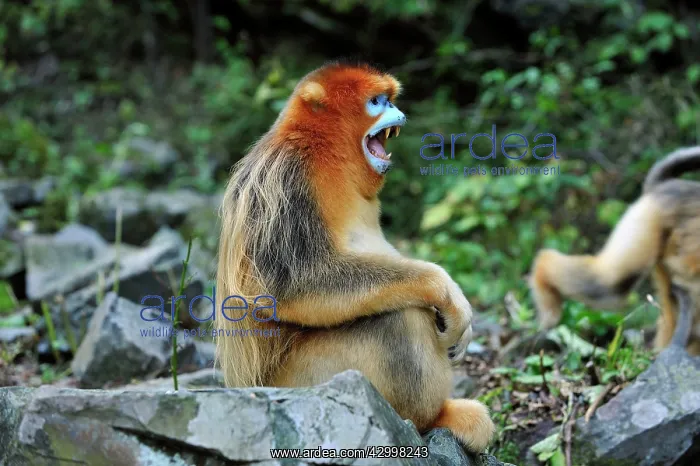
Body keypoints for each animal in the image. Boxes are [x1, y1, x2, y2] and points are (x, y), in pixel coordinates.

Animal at [214, 61, 495, 453]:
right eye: (377, 102)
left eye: (389, 99)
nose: (398, 111)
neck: (324, 152)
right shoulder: (288, 180)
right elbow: (293, 287)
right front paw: (445, 290)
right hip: (304, 381)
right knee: (399, 318)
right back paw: (433, 418)